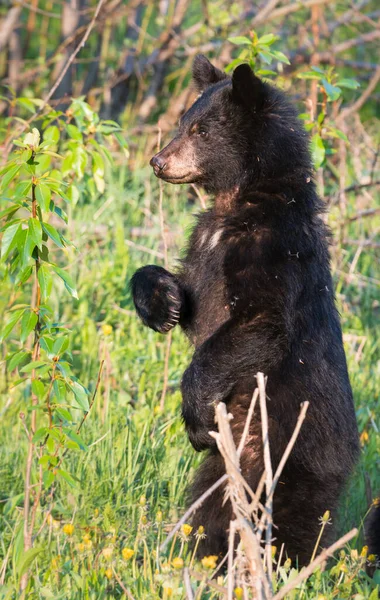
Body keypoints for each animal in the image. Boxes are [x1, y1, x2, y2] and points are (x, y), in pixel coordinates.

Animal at [131, 54, 360, 564]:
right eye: (183, 122)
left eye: (201, 131)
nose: (158, 161)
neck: (242, 199)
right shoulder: (205, 245)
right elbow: (192, 297)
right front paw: (162, 301)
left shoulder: (274, 246)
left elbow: (260, 321)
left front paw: (195, 415)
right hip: (230, 463)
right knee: (216, 505)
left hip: (278, 448)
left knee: (275, 515)